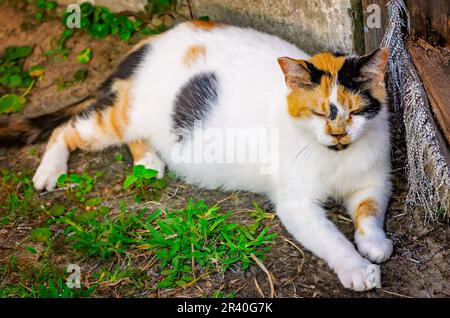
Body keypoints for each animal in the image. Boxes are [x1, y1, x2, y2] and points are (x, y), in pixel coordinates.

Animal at [0, 21, 392, 292]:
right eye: (317, 112)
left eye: (355, 112)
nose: (338, 132)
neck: (336, 157)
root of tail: (149, 41)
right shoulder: (296, 204)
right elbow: (331, 238)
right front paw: (357, 268)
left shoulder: (375, 181)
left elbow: (369, 211)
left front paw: (374, 243)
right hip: (122, 117)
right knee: (67, 128)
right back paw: (50, 172)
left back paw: (148, 162)